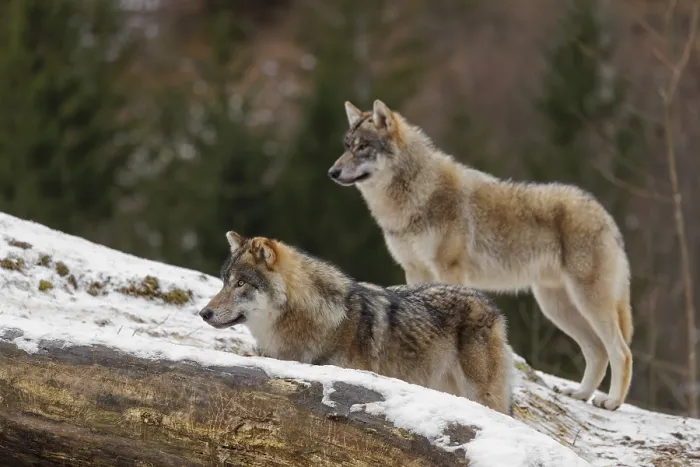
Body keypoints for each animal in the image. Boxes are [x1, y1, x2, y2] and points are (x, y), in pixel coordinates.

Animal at [327, 99, 633, 411]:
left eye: (363, 147)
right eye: (347, 145)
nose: (332, 172)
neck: (416, 196)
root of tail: (604, 214)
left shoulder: (449, 268)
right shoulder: (414, 270)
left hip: (588, 301)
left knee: (621, 350)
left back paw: (611, 401)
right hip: (557, 307)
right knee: (597, 350)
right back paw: (581, 394)